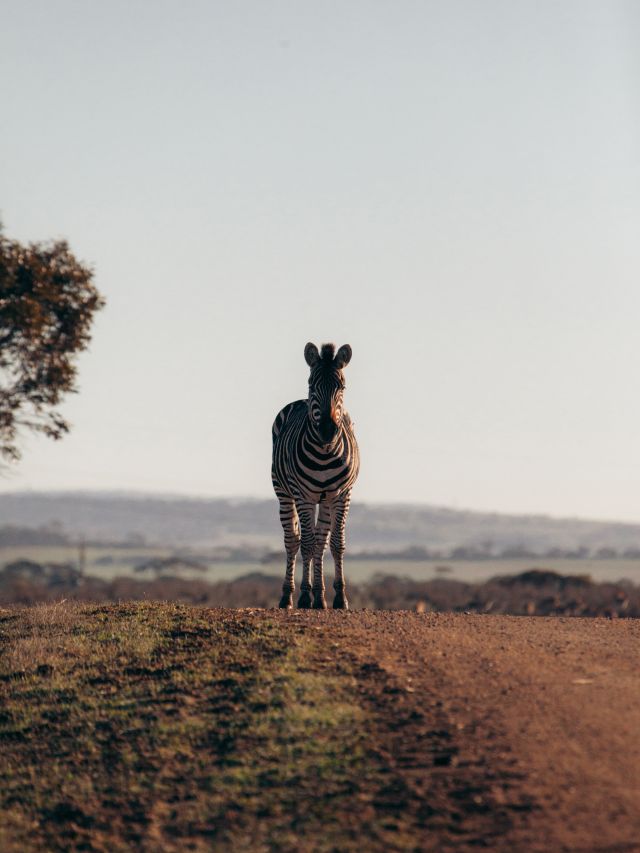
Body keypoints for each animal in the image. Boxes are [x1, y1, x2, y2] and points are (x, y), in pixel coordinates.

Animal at [272, 342, 360, 610]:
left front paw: (340, 598)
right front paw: (303, 596)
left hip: (327, 499)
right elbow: (306, 544)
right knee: (294, 541)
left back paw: (320, 597)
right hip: (284, 493)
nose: (328, 431)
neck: (325, 452)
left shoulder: (342, 494)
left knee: (320, 542)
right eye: (312, 385)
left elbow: (336, 543)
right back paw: (289, 596)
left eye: (342, 386)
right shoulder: (304, 496)